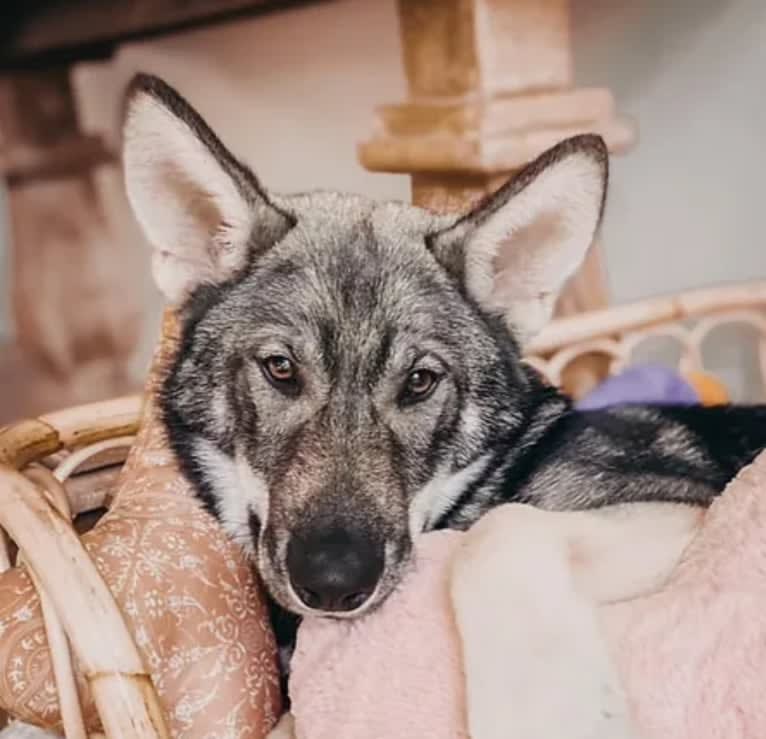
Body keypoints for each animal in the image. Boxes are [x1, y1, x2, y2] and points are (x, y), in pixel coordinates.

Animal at [120, 75, 766, 739]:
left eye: (420, 381)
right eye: (280, 368)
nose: (334, 583)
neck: (500, 472)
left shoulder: (685, 511)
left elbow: (498, 533)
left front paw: (545, 711)